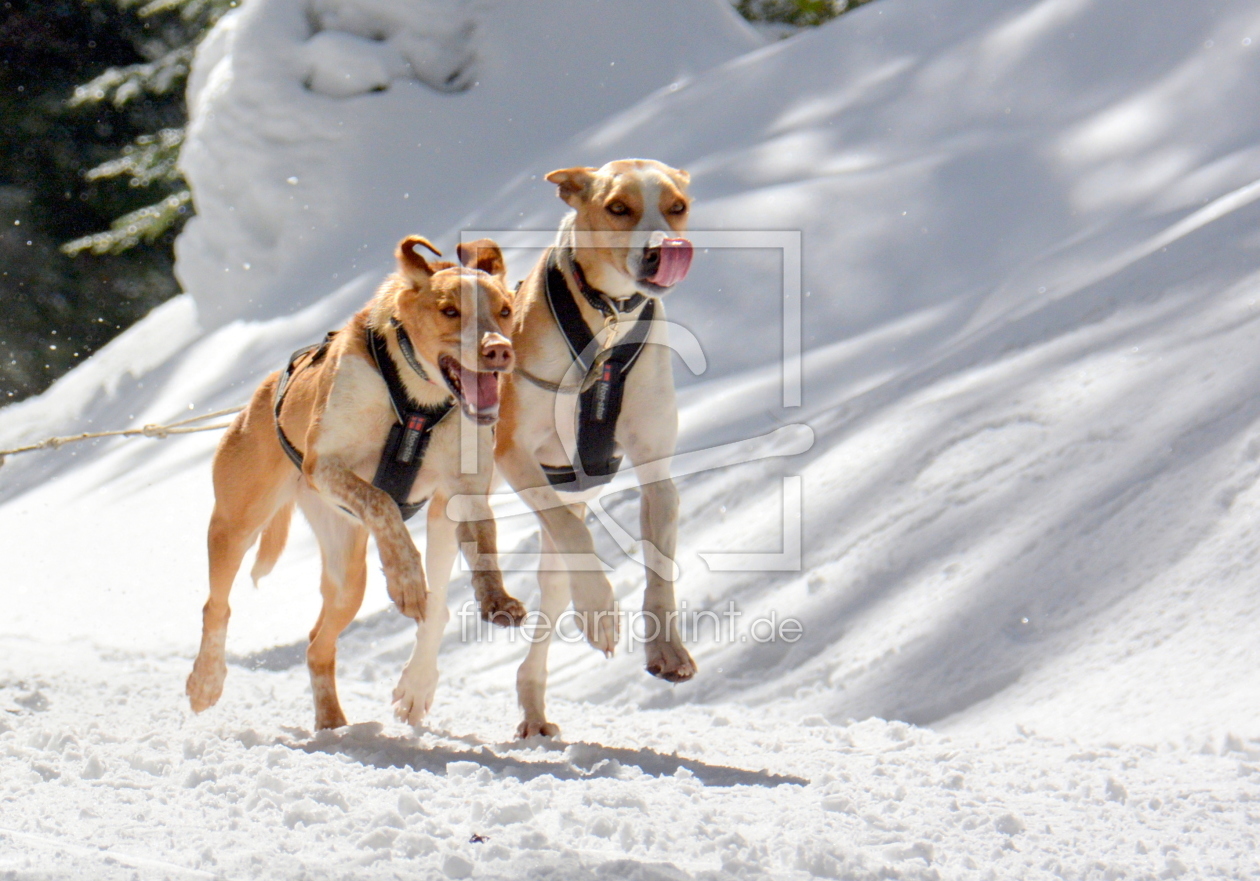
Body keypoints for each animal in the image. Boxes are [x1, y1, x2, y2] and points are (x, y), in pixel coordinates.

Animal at [183, 234, 524, 731]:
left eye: (504, 310)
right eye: (449, 311)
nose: (498, 350)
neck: (418, 403)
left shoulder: (462, 492)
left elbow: (477, 553)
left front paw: (494, 598)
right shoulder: (324, 466)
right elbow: (380, 501)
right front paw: (406, 578)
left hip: (347, 576)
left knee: (317, 645)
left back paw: (332, 722)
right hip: (236, 523)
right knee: (216, 605)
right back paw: (206, 681)